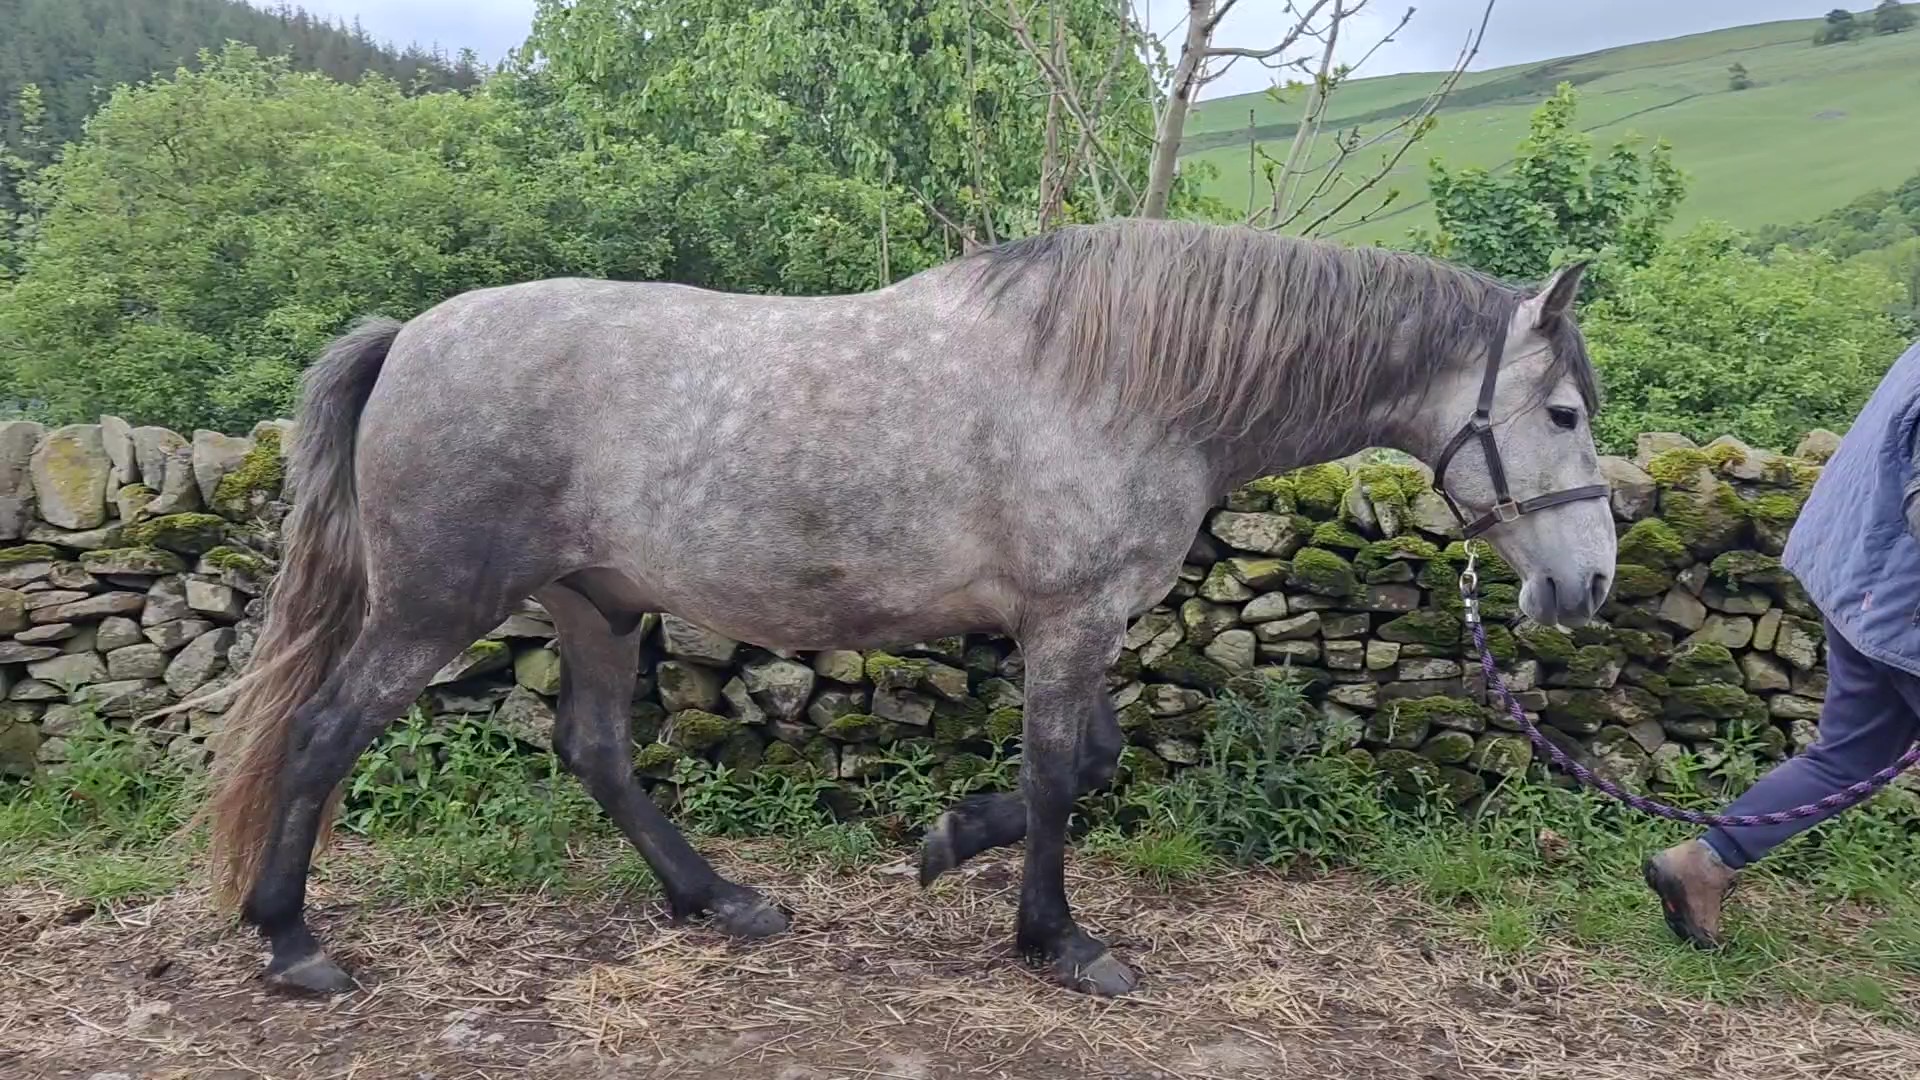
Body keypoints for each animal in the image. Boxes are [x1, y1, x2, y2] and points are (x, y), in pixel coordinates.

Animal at [199, 217, 1616, 999]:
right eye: (1562, 412)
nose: (1590, 581)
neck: (1132, 382)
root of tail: (410, 336)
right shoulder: (1072, 619)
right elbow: (1060, 771)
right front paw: (1059, 940)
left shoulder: (1079, 622)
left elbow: (1087, 760)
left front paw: (946, 844)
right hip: (435, 607)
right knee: (323, 736)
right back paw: (293, 942)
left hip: (597, 603)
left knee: (594, 750)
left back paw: (719, 901)